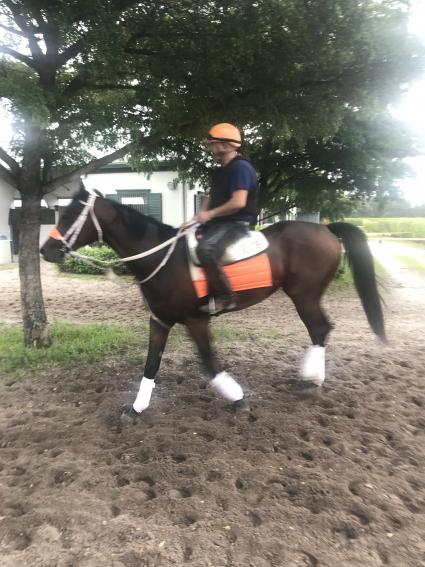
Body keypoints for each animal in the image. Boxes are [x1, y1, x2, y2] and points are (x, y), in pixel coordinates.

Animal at [40, 187, 384, 418]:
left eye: (69, 215)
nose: (46, 251)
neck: (165, 260)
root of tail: (326, 229)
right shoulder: (159, 319)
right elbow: (151, 363)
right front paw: (137, 408)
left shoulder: (196, 320)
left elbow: (208, 362)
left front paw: (238, 398)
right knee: (319, 329)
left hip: (304, 295)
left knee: (320, 328)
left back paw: (312, 381)